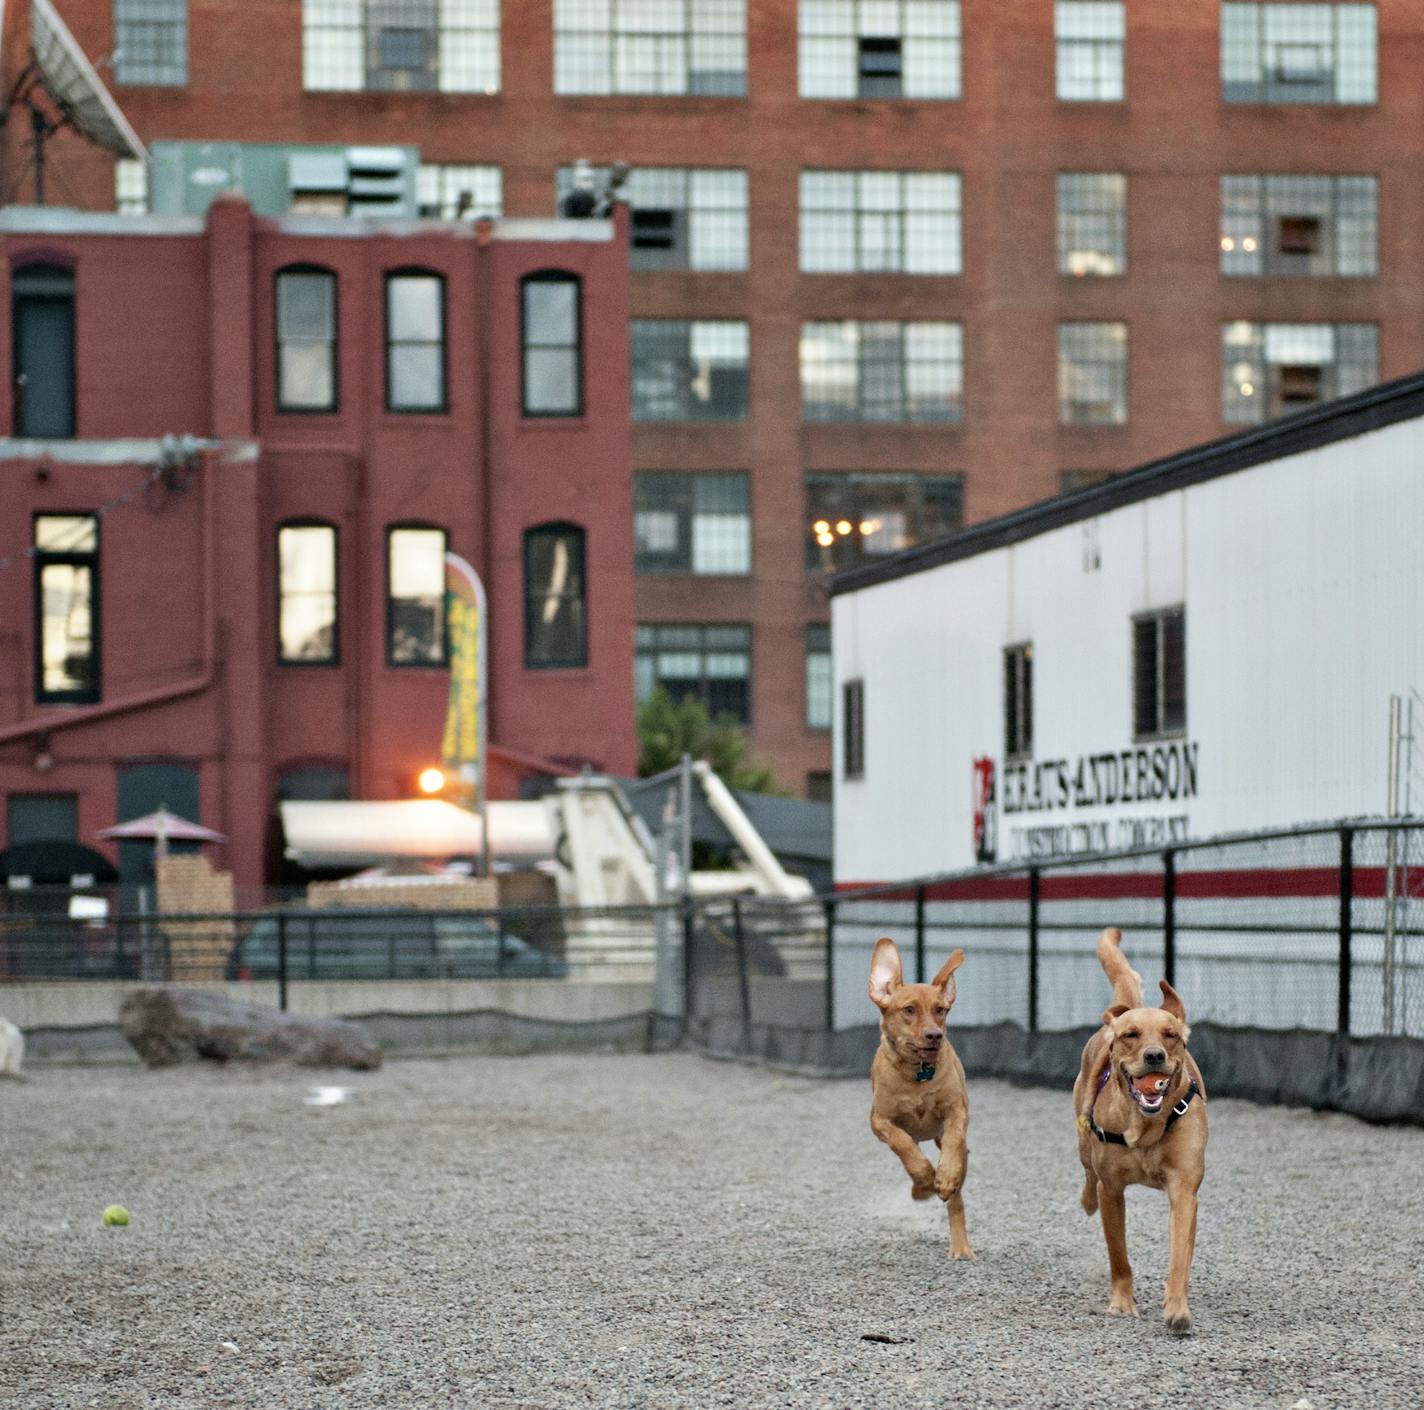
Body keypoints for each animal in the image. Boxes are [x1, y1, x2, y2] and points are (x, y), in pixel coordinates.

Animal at [860, 945, 974, 1264]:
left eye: (940, 1009)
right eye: (909, 1010)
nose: (935, 1035)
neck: (917, 1074)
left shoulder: (956, 1111)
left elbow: (953, 1141)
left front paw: (945, 1176)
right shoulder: (880, 1121)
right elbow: (904, 1145)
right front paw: (924, 1177)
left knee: (956, 1199)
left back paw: (960, 1245)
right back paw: (920, 1187)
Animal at [1070, 928, 1207, 1333]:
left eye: (1170, 1035)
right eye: (1131, 1035)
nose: (1154, 1055)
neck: (1146, 1127)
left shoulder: (1184, 1187)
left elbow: (1179, 1255)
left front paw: (1177, 1308)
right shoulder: (1112, 1189)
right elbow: (1119, 1255)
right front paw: (1122, 1302)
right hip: (1083, 1137)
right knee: (1087, 1171)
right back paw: (1086, 1199)